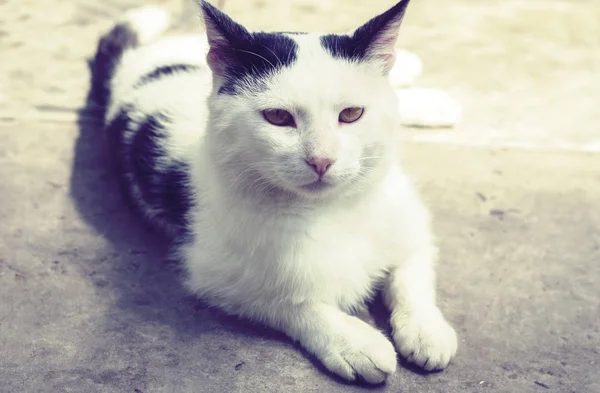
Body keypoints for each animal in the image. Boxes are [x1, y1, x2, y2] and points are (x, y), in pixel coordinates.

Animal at [91, 0, 460, 384]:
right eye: (278, 117)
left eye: (352, 113)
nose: (321, 160)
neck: (332, 211)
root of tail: (127, 67)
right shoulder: (215, 273)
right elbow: (290, 303)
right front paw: (352, 341)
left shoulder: (407, 220)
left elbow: (411, 277)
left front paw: (425, 330)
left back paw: (420, 83)